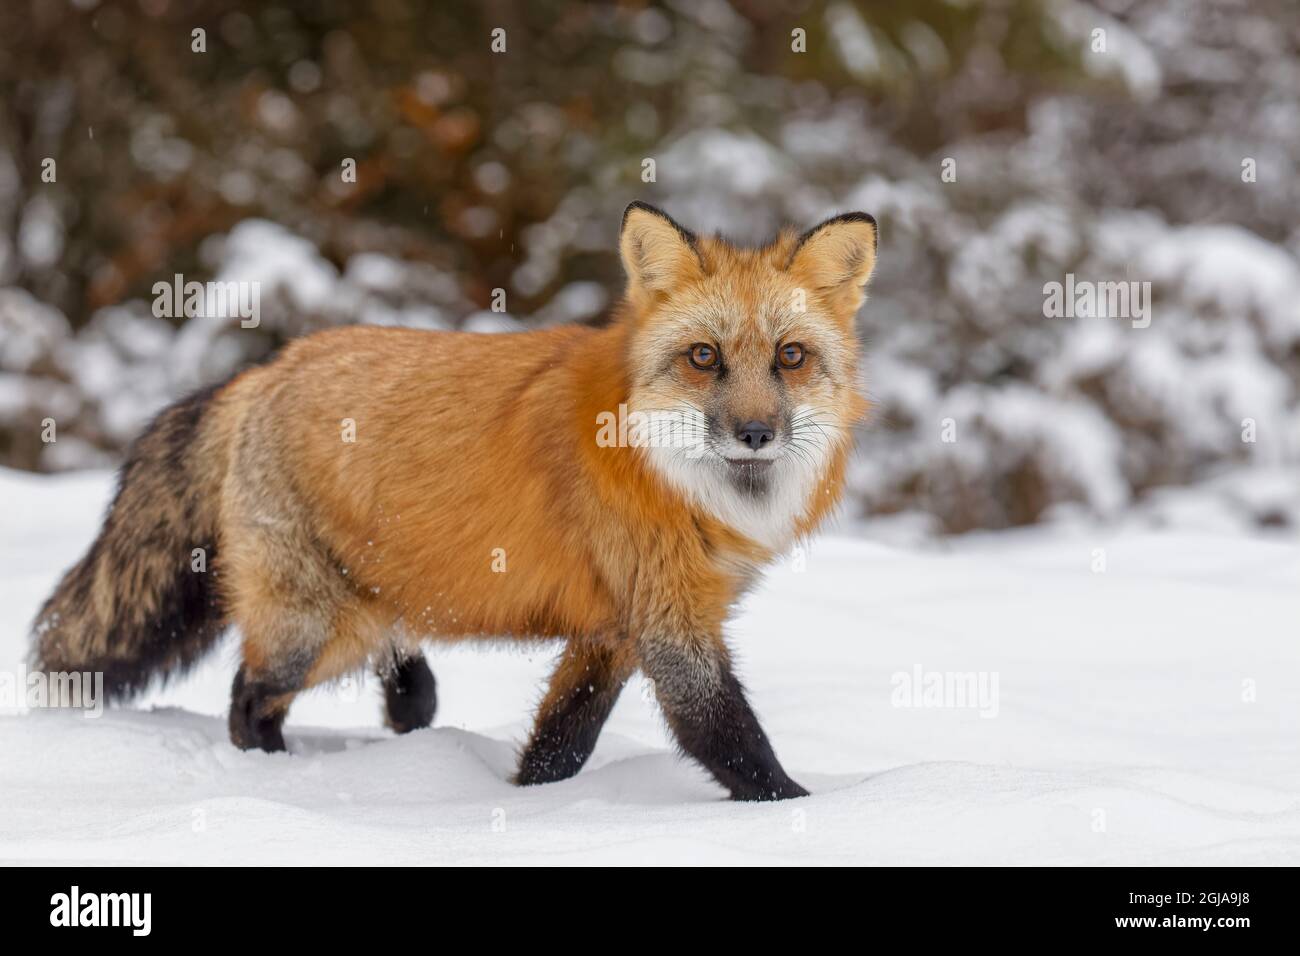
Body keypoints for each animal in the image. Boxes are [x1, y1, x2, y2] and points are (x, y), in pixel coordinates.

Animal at [31, 202, 877, 801]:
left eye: (790, 357)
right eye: (704, 356)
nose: (756, 433)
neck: (676, 479)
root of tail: (267, 370)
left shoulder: (612, 632)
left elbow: (561, 743)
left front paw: (529, 808)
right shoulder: (671, 629)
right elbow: (731, 741)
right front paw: (809, 813)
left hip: (375, 611)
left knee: (402, 688)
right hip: (315, 629)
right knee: (248, 700)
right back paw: (276, 782)